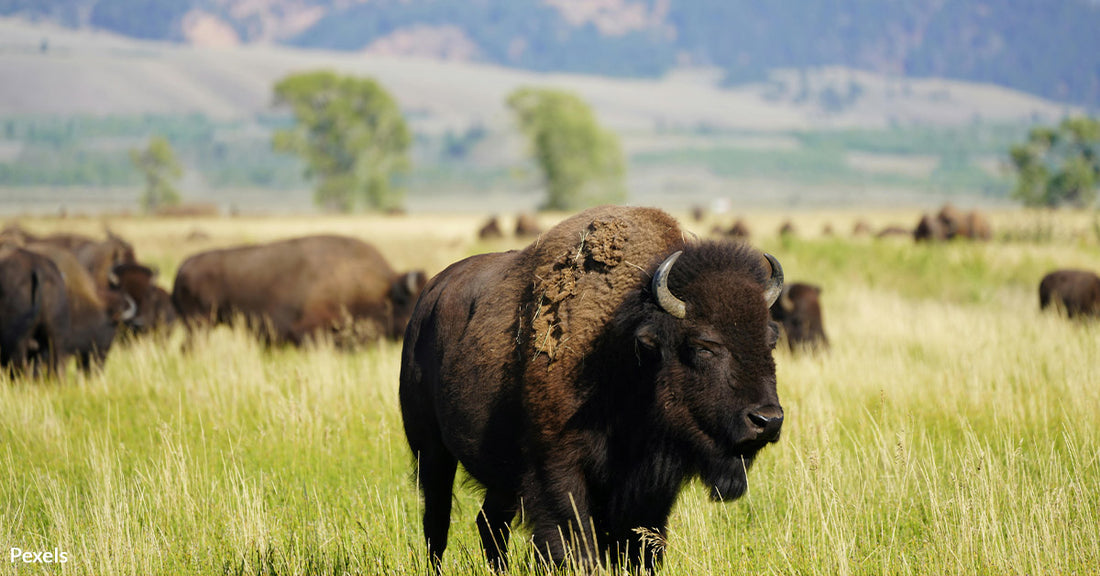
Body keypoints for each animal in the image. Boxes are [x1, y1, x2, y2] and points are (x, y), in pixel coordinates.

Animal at [400, 205, 787, 571]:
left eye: (770, 339)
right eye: (704, 345)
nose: (767, 420)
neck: (624, 352)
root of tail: (428, 299)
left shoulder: (649, 489)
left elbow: (642, 548)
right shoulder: (558, 472)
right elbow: (576, 544)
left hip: (499, 474)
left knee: (489, 522)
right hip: (431, 452)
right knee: (437, 519)